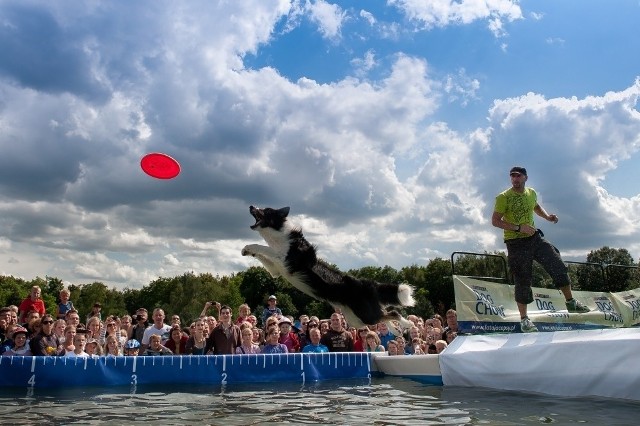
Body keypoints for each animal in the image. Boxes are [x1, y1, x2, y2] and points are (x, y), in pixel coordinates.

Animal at [240, 205, 416, 332]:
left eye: (266, 210)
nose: (250, 206)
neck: (278, 234)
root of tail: (367, 283)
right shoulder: (276, 270)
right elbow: (264, 255)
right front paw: (247, 251)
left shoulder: (285, 260)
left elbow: (265, 248)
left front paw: (249, 246)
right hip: (357, 319)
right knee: (385, 315)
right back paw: (395, 330)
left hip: (364, 314)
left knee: (393, 313)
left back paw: (407, 325)